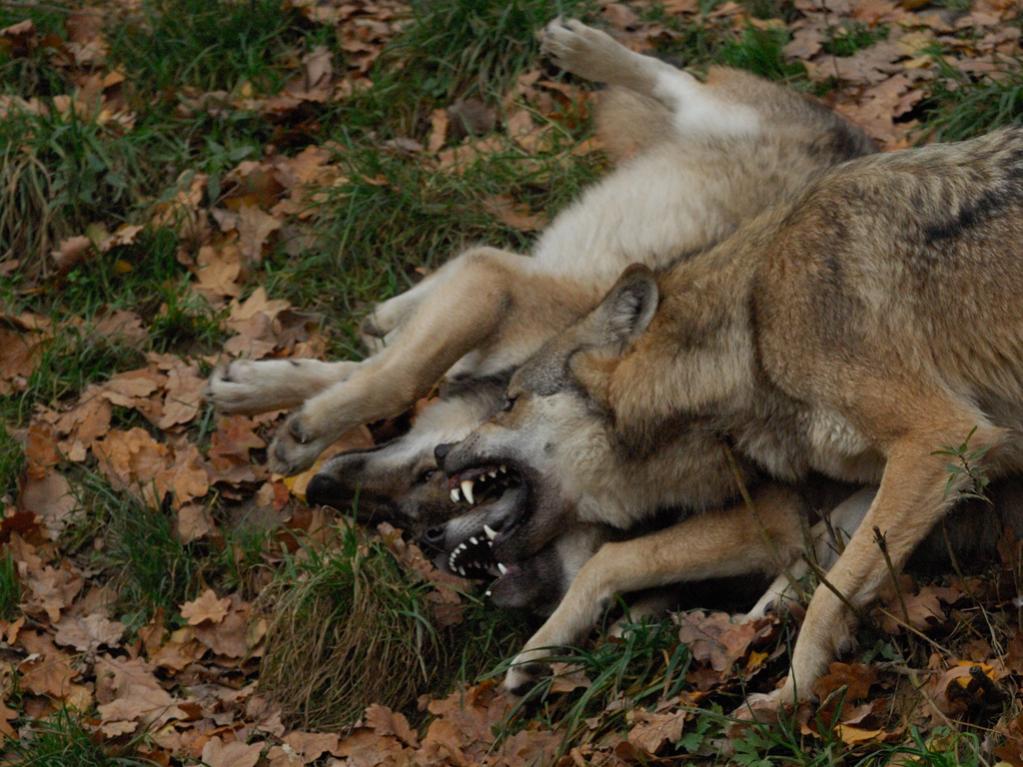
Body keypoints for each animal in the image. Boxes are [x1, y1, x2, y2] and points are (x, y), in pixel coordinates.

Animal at [441, 125, 1023, 710]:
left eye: (509, 401)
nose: (442, 451)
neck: (752, 326)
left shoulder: (941, 439)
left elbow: (828, 591)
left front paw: (790, 694)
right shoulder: (880, 480)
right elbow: (822, 559)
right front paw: (539, 653)